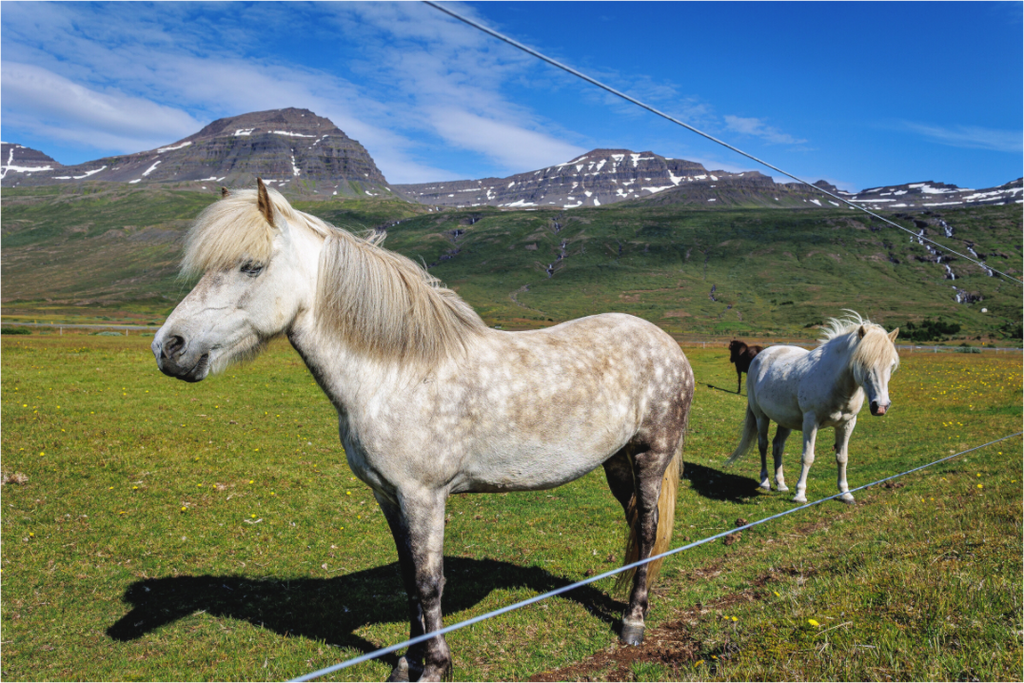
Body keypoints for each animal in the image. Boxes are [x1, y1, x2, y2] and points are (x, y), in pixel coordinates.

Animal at [151, 180, 694, 682]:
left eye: (251, 266)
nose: (168, 347)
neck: (396, 372)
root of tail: (666, 343)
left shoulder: (423, 497)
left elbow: (430, 582)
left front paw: (434, 667)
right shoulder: (389, 496)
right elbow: (409, 580)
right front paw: (405, 665)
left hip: (650, 455)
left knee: (648, 529)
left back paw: (632, 622)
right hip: (616, 463)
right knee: (634, 525)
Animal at [726, 312, 898, 504]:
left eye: (891, 365)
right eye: (862, 363)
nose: (880, 406)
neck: (835, 382)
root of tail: (761, 355)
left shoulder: (847, 424)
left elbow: (842, 458)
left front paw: (845, 493)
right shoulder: (810, 422)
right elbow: (807, 457)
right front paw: (800, 494)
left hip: (785, 421)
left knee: (778, 447)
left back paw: (781, 484)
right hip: (761, 416)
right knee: (763, 445)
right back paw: (765, 482)